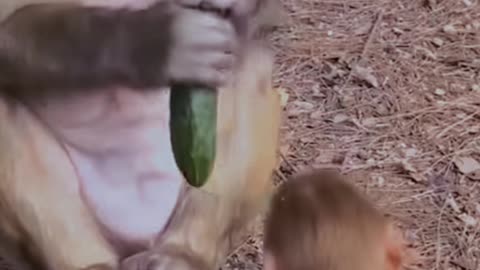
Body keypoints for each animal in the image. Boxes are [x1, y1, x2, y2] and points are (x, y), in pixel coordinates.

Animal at [0, 0, 284, 270]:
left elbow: (260, 25)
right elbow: (8, 31)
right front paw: (158, 42)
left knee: (250, 63)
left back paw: (183, 254)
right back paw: (89, 263)